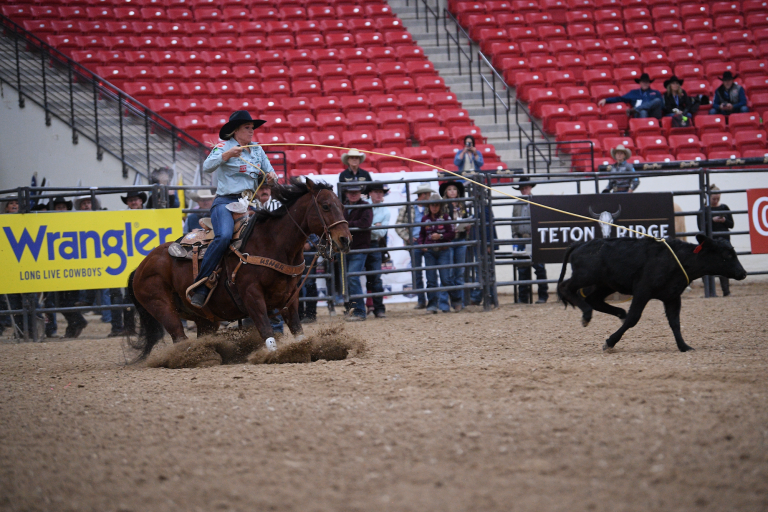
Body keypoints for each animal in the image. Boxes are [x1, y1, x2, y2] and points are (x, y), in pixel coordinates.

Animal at [127, 178, 352, 362]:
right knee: (179, 336)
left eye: (342, 206)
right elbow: (265, 329)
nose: (345, 239)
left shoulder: (290, 298)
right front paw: (275, 354)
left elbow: (298, 331)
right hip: (161, 305)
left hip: (204, 319)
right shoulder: (251, 295)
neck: (273, 242)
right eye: (325, 206)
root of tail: (140, 266)